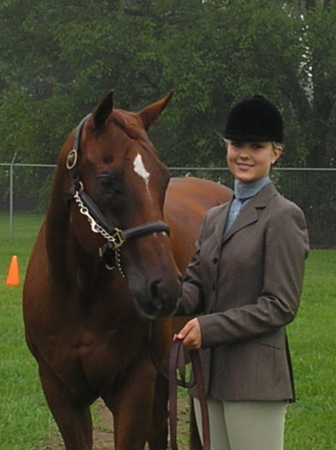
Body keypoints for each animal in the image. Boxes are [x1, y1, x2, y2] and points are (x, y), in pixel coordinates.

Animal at [22, 89, 232, 448]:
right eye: (107, 182)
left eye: (163, 179)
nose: (165, 289)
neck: (77, 295)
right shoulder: (60, 391)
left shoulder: (135, 384)